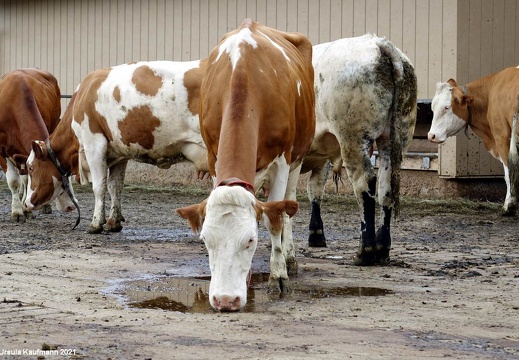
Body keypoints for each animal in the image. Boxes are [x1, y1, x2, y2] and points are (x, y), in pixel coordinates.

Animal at [0, 67, 70, 219]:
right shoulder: (1, 150)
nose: (68, 206)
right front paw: (17, 211)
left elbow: (27, 179)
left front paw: (26, 209)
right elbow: (14, 181)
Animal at [178, 19, 316, 310]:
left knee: (288, 206)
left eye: (251, 240)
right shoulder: (213, 157)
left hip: (298, 158)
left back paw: (289, 258)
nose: (225, 300)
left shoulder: (283, 161)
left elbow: (275, 221)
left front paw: (278, 276)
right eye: (205, 240)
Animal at [300, 35, 418, 266]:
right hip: (395, 138)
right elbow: (315, 189)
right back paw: (382, 247)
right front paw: (316, 234)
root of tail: (380, 44)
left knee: (364, 183)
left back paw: (365, 251)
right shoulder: (321, 158)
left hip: (353, 138)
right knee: (385, 187)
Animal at [428, 66, 519, 215]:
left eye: (447, 107)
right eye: (432, 108)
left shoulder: (501, 135)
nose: (431, 135)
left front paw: (508, 205)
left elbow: (508, 172)